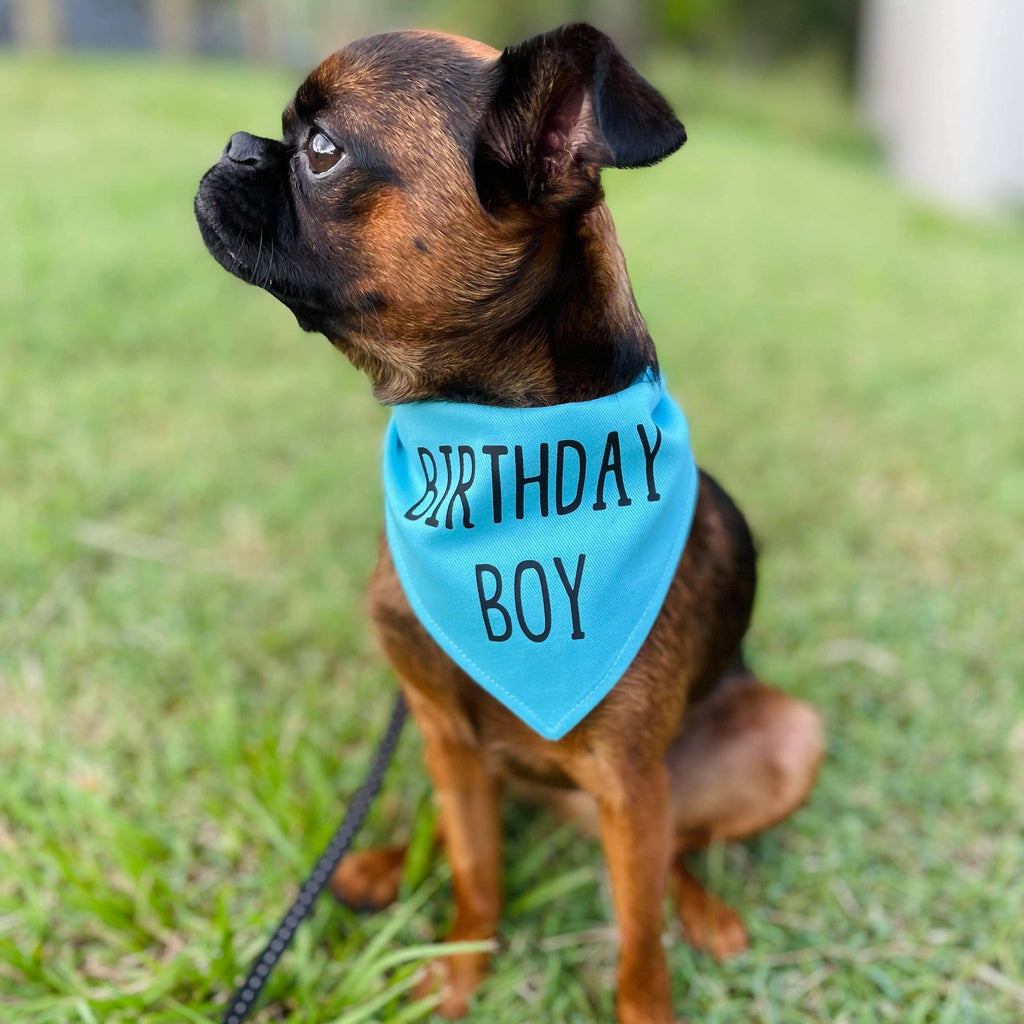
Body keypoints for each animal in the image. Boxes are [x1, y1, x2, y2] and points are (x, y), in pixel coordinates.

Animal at [195, 24, 827, 1024]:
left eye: (321, 151)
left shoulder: (631, 781)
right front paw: (459, 973)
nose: (234, 144)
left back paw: (703, 908)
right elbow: (474, 869)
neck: (487, 457)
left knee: (676, 852)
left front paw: (645, 1000)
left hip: (773, 744)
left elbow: (639, 945)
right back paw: (381, 862)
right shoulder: (441, 732)